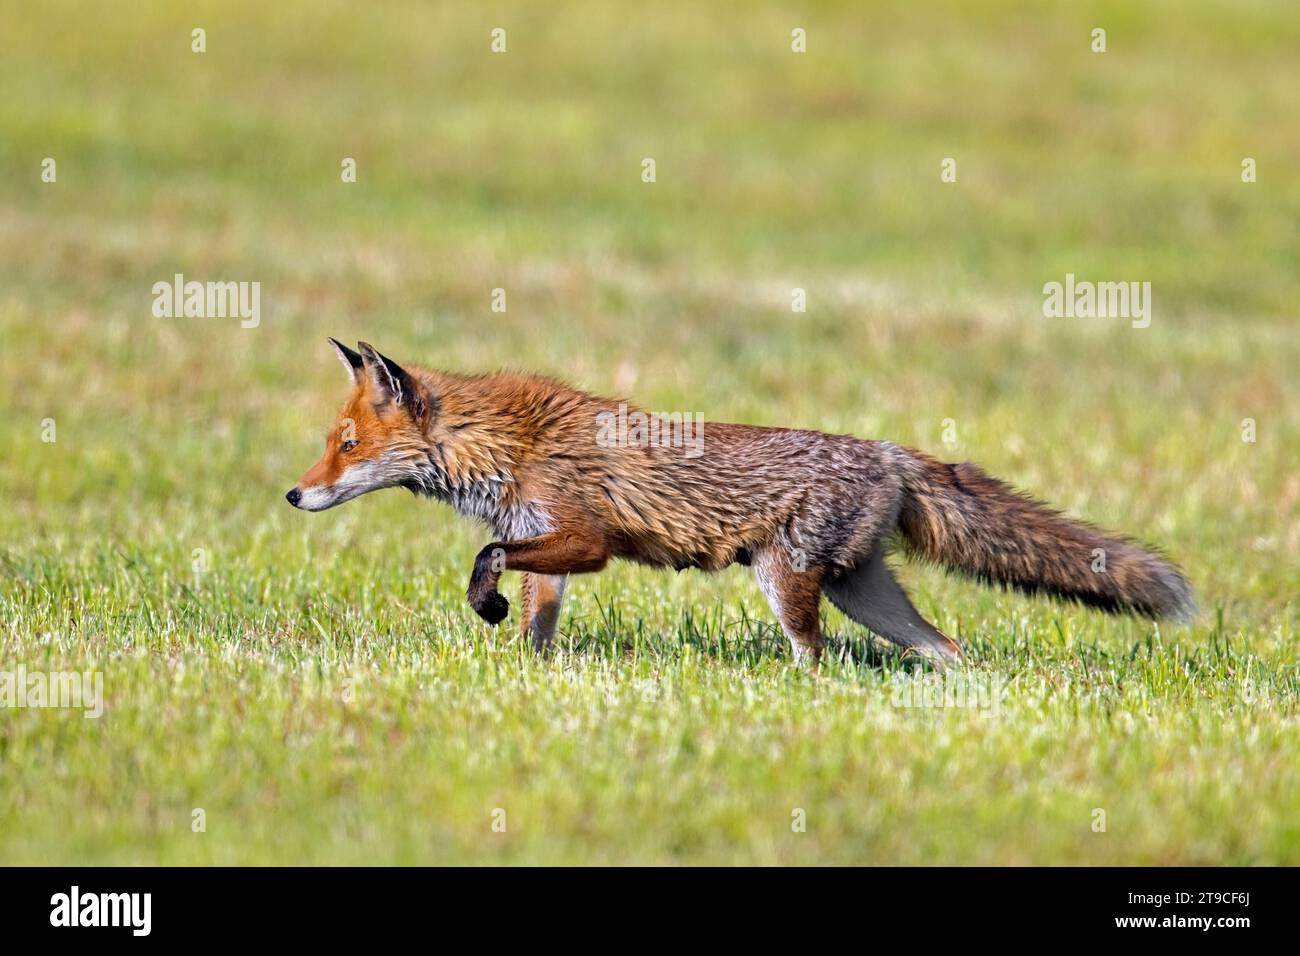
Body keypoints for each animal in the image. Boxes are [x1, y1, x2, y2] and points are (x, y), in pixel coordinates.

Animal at [289, 343, 1190, 665]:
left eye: (346, 446)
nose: (295, 492)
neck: (508, 442)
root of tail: (888, 453)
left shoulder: (585, 540)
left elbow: (488, 557)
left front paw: (486, 604)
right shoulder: (551, 548)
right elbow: (535, 624)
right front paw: (524, 672)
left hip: (787, 582)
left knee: (816, 655)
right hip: (863, 592)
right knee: (949, 648)